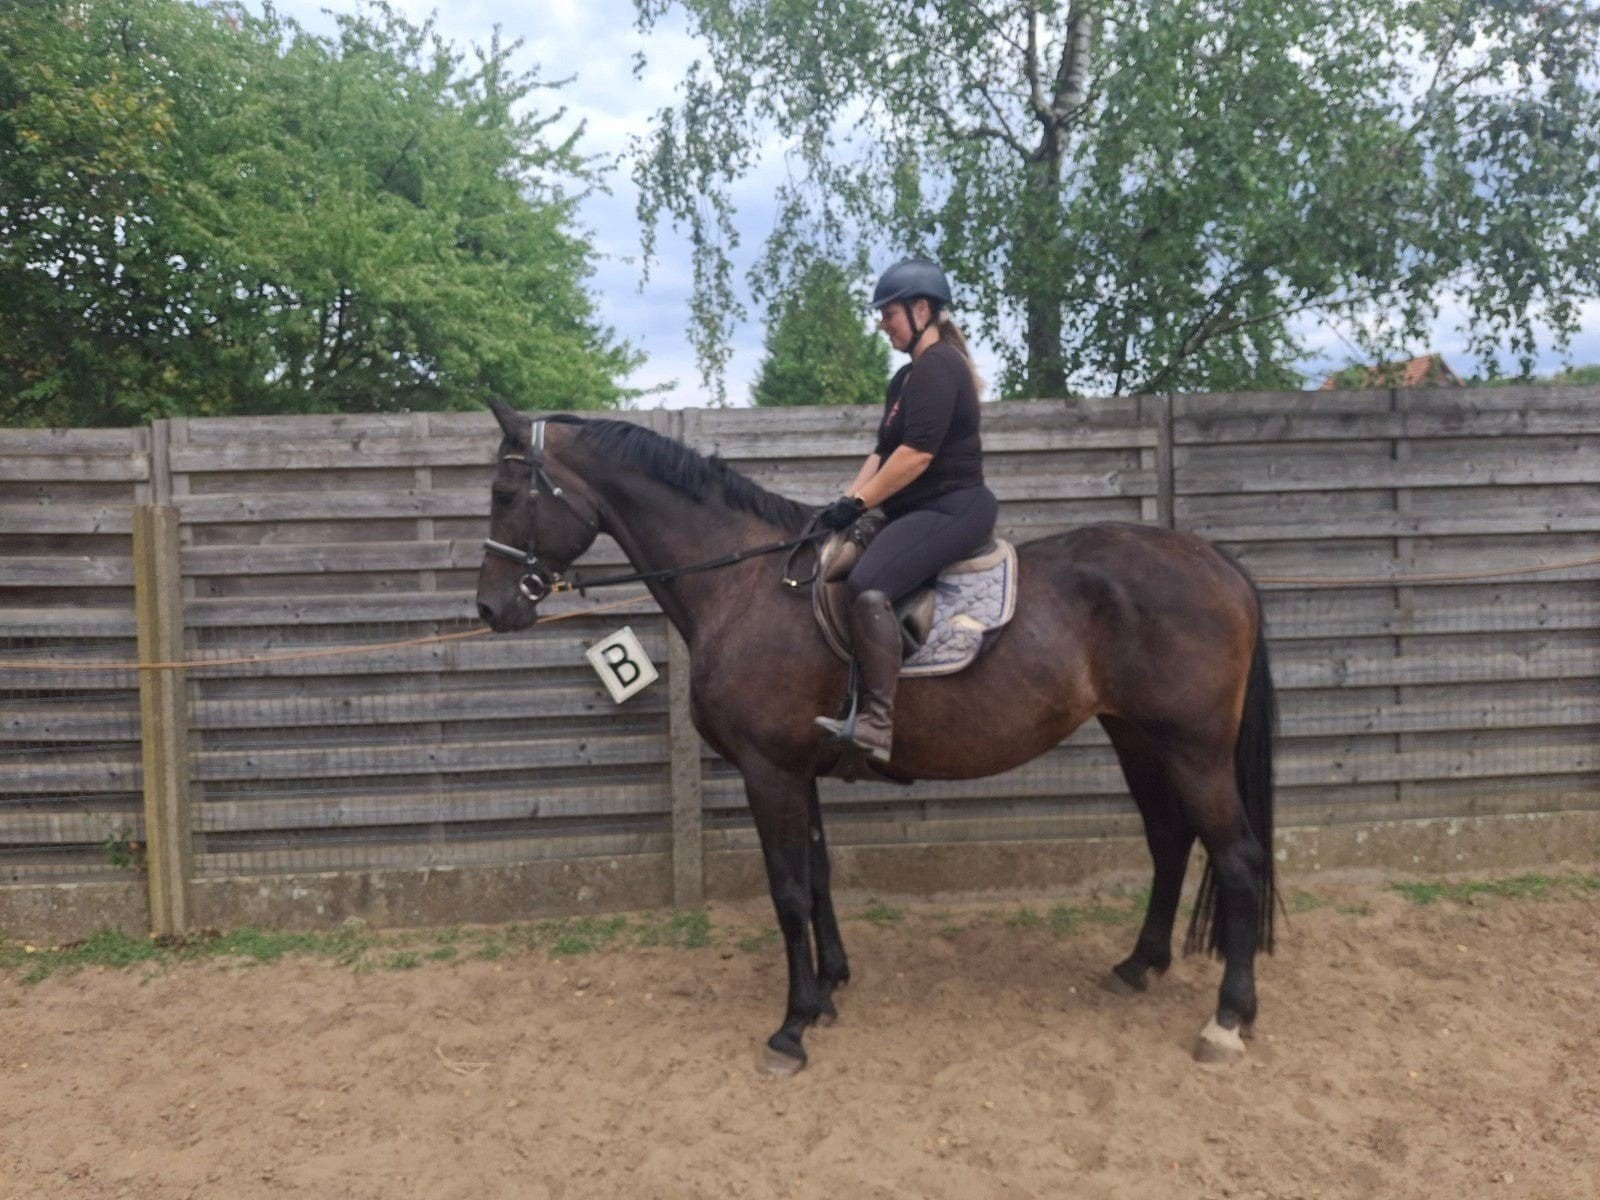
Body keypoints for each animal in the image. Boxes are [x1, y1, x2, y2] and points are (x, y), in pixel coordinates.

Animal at [474, 401, 1278, 1073]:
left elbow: (788, 890)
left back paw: (1227, 1019)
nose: (489, 609)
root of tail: (1217, 562)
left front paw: (791, 1027)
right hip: (1139, 740)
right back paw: (1138, 966)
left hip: (1193, 748)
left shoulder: (768, 770)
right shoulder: (797, 769)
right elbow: (819, 877)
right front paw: (829, 987)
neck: (747, 588)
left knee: (1237, 859)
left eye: (505, 494)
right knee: (1170, 842)